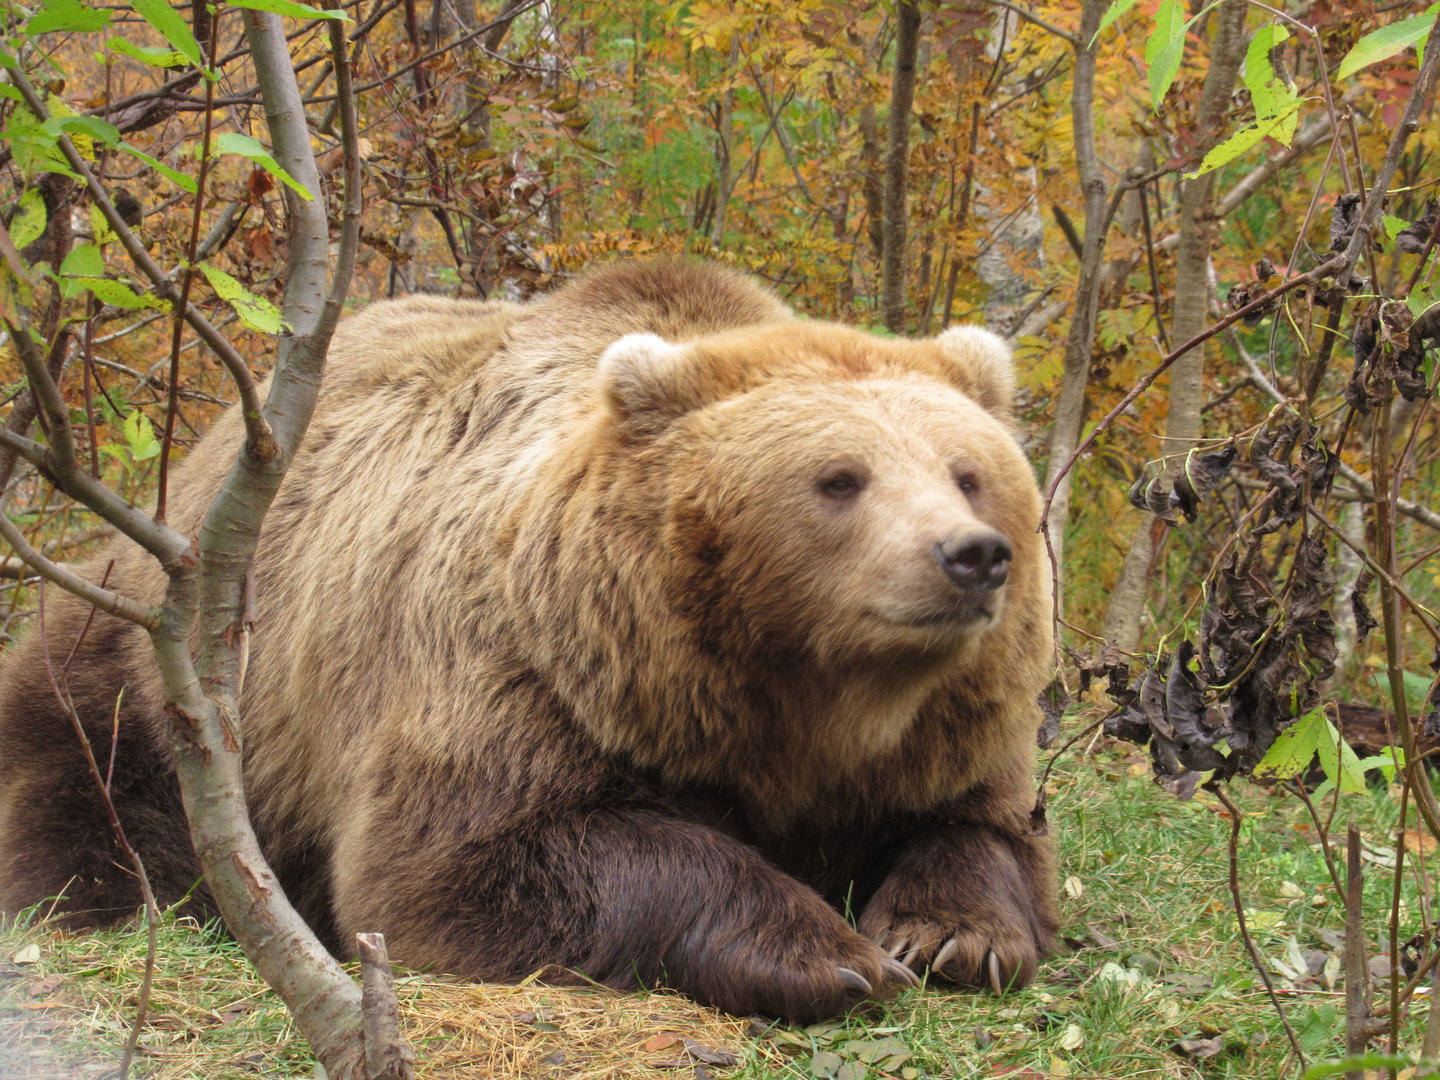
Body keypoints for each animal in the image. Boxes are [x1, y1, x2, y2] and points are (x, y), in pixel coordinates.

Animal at [0, 259, 1056, 1021]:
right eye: (840, 478)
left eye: (966, 471)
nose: (970, 555)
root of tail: (213, 441)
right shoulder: (526, 676)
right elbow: (473, 861)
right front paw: (830, 955)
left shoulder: (937, 738)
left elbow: (986, 826)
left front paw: (947, 935)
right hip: (154, 647)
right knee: (93, 780)